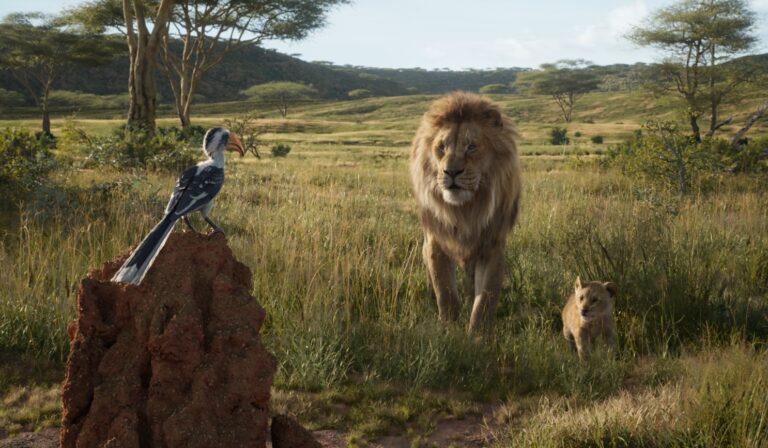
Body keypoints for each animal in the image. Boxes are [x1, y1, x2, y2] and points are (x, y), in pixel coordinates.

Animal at [409, 92, 521, 333]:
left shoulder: (492, 247)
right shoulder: (435, 243)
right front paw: (449, 331)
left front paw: (478, 336)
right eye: (441, 147)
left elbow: (484, 300)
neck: (465, 210)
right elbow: (445, 293)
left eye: (471, 146)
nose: (451, 172)